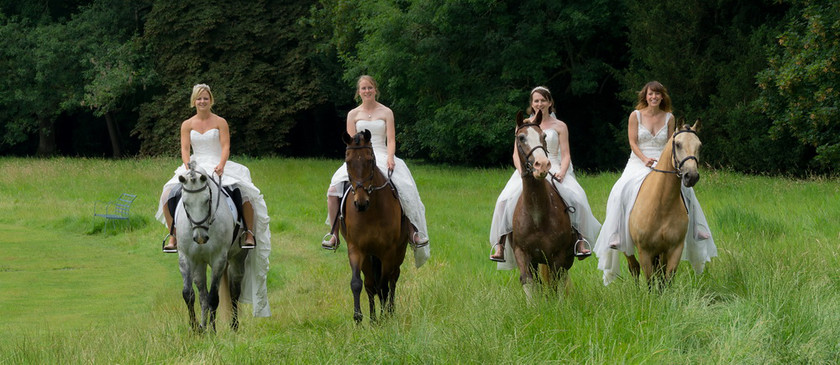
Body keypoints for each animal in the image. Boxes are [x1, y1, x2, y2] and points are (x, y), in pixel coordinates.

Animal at [173, 161, 246, 332]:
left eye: (207, 200)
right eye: (185, 203)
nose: (200, 238)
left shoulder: (219, 259)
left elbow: (214, 297)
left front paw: (213, 332)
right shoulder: (186, 258)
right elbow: (188, 294)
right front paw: (195, 329)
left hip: (237, 258)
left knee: (234, 292)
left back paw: (234, 326)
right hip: (199, 264)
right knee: (202, 295)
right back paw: (203, 326)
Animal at [338, 130, 410, 322]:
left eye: (370, 160)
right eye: (348, 161)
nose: (361, 203)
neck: (370, 212)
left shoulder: (388, 251)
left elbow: (384, 285)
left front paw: (385, 318)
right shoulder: (356, 249)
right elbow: (358, 284)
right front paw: (360, 319)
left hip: (399, 250)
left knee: (393, 278)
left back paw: (390, 311)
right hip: (369, 256)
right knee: (371, 284)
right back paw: (373, 318)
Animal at [508, 110, 580, 298]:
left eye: (544, 136)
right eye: (521, 138)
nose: (542, 165)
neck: (537, 215)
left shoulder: (559, 255)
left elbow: (556, 284)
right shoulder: (522, 253)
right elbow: (528, 282)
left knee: (561, 279)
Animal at [628, 121, 704, 286]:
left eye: (699, 145)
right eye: (678, 144)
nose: (691, 176)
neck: (662, 205)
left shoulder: (674, 249)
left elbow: (667, 280)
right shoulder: (645, 251)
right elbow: (650, 281)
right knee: (634, 268)